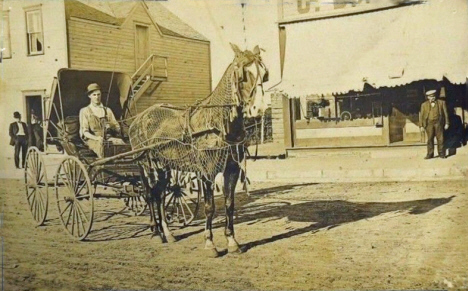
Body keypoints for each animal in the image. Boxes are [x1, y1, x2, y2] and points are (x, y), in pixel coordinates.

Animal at [128, 43, 268, 258]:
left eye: (264, 74)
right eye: (243, 74)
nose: (259, 109)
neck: (217, 122)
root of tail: (137, 119)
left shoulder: (232, 169)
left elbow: (229, 204)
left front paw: (232, 241)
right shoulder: (206, 172)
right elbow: (210, 207)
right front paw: (210, 244)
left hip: (164, 166)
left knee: (160, 196)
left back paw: (167, 233)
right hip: (145, 164)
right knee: (150, 195)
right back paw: (156, 232)